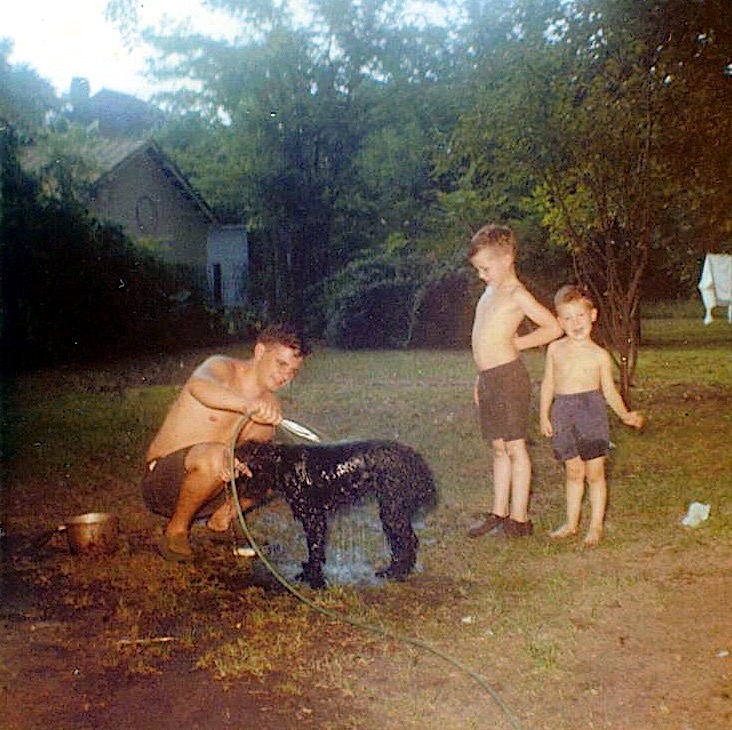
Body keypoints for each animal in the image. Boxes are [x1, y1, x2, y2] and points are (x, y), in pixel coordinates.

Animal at [237, 438, 438, 584]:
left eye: (249, 460)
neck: (284, 464)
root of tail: (417, 461)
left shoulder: (314, 517)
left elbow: (314, 549)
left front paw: (312, 577)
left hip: (392, 510)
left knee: (406, 542)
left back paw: (395, 573)